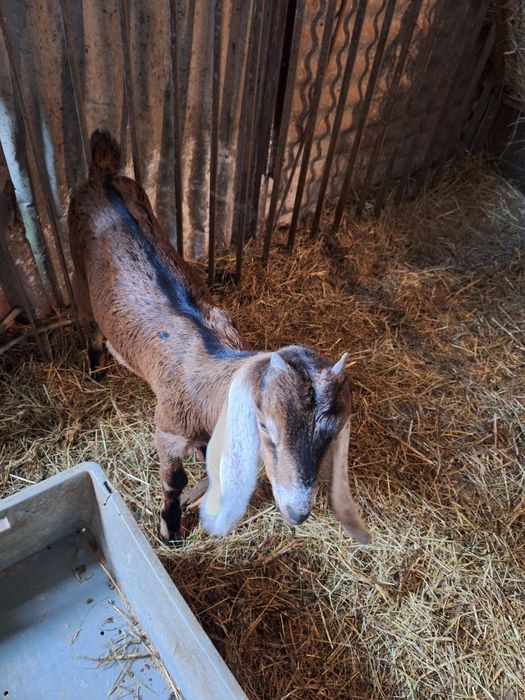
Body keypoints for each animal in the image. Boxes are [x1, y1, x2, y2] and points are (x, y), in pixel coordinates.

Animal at [68, 130, 370, 545]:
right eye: (265, 426)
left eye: (331, 432)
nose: (298, 512)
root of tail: (103, 173)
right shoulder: (167, 427)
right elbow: (174, 479)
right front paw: (170, 528)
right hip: (78, 275)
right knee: (89, 325)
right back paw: (96, 371)